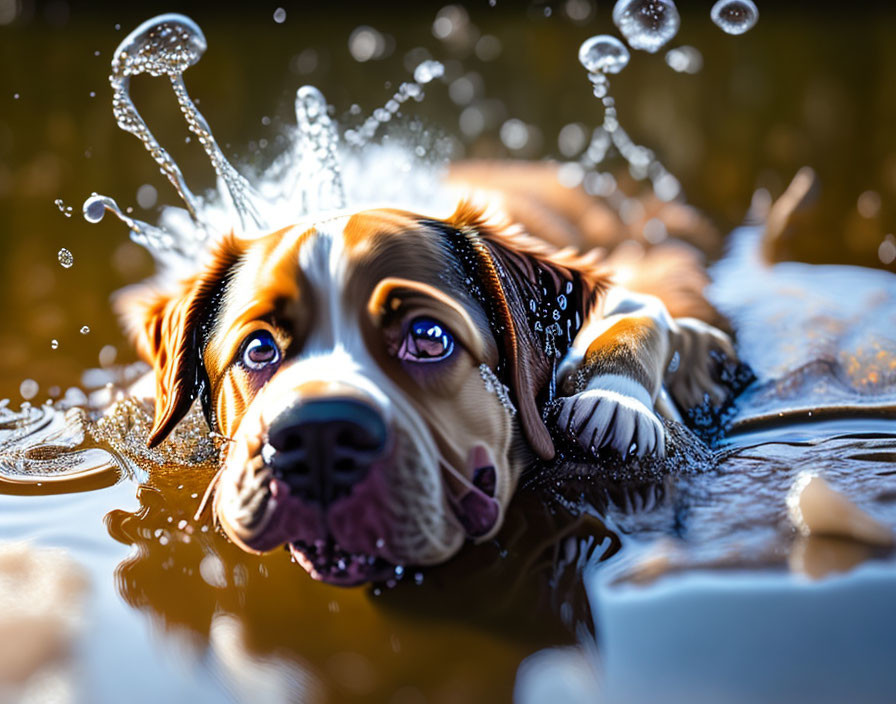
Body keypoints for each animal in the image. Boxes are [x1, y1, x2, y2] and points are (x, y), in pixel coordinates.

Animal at [117, 162, 736, 584]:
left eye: (429, 338)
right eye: (258, 349)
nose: (318, 434)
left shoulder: (632, 286)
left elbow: (639, 313)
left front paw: (614, 403)